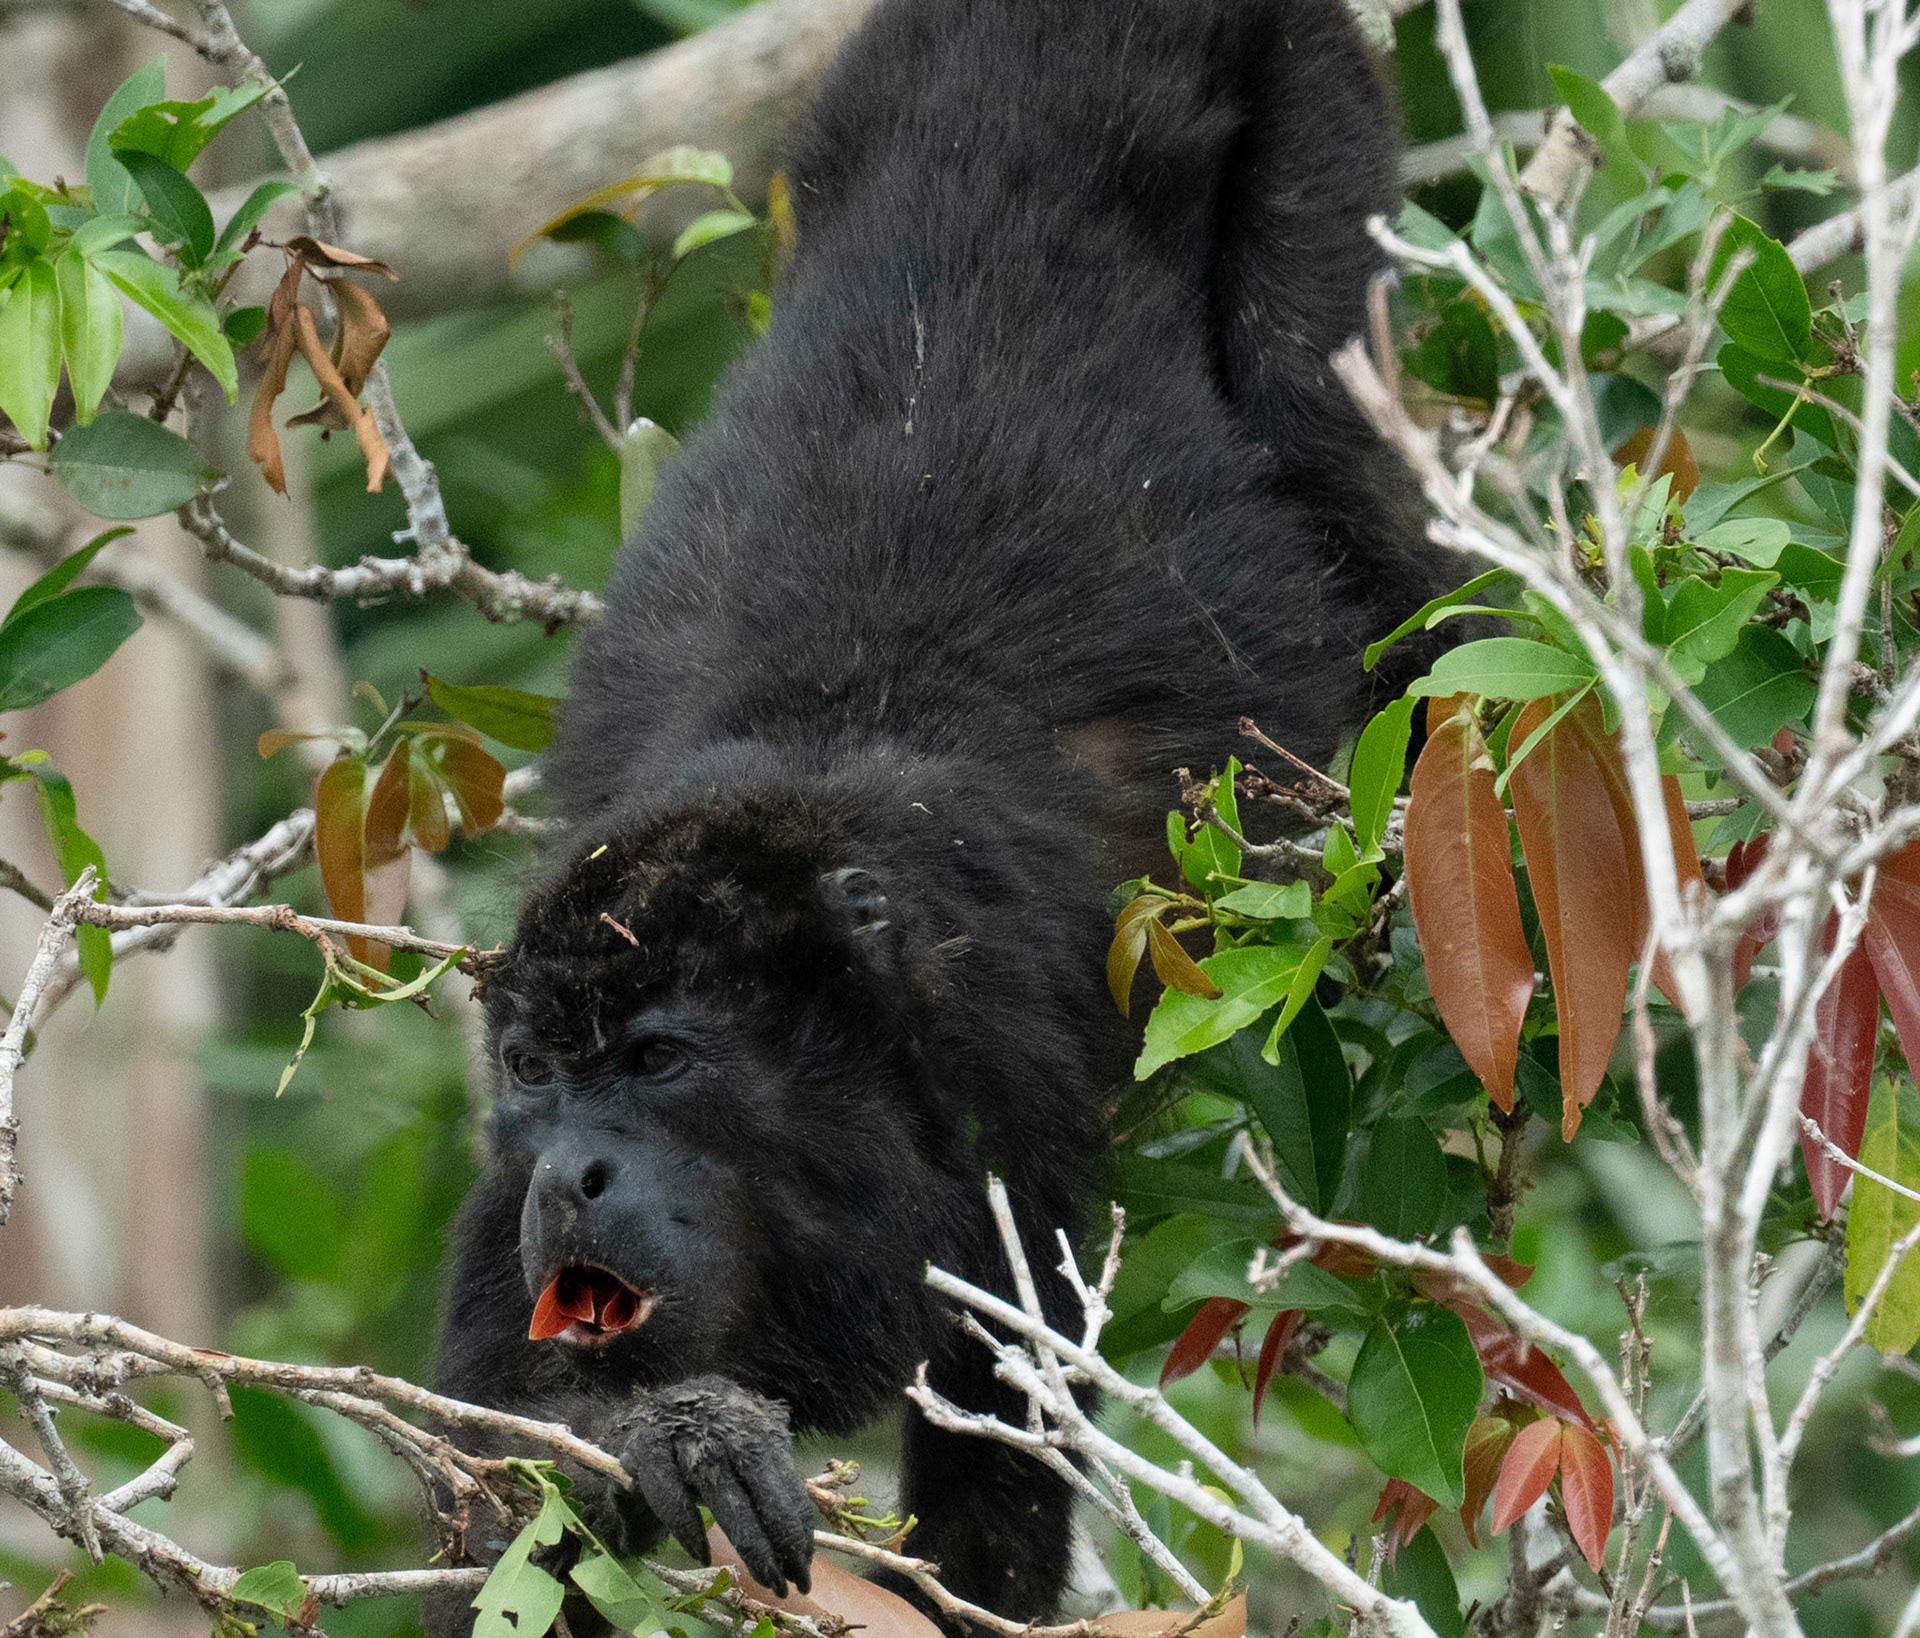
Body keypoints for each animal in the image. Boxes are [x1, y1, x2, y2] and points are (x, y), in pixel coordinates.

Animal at [434, 0, 1438, 1622]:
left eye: (660, 1059)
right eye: (535, 1071)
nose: (574, 1174)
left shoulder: (993, 1064)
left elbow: (998, 1458)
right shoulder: (498, 1184)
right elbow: (472, 1501)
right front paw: (676, 1436)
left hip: (1311, 96)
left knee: (1328, 422)